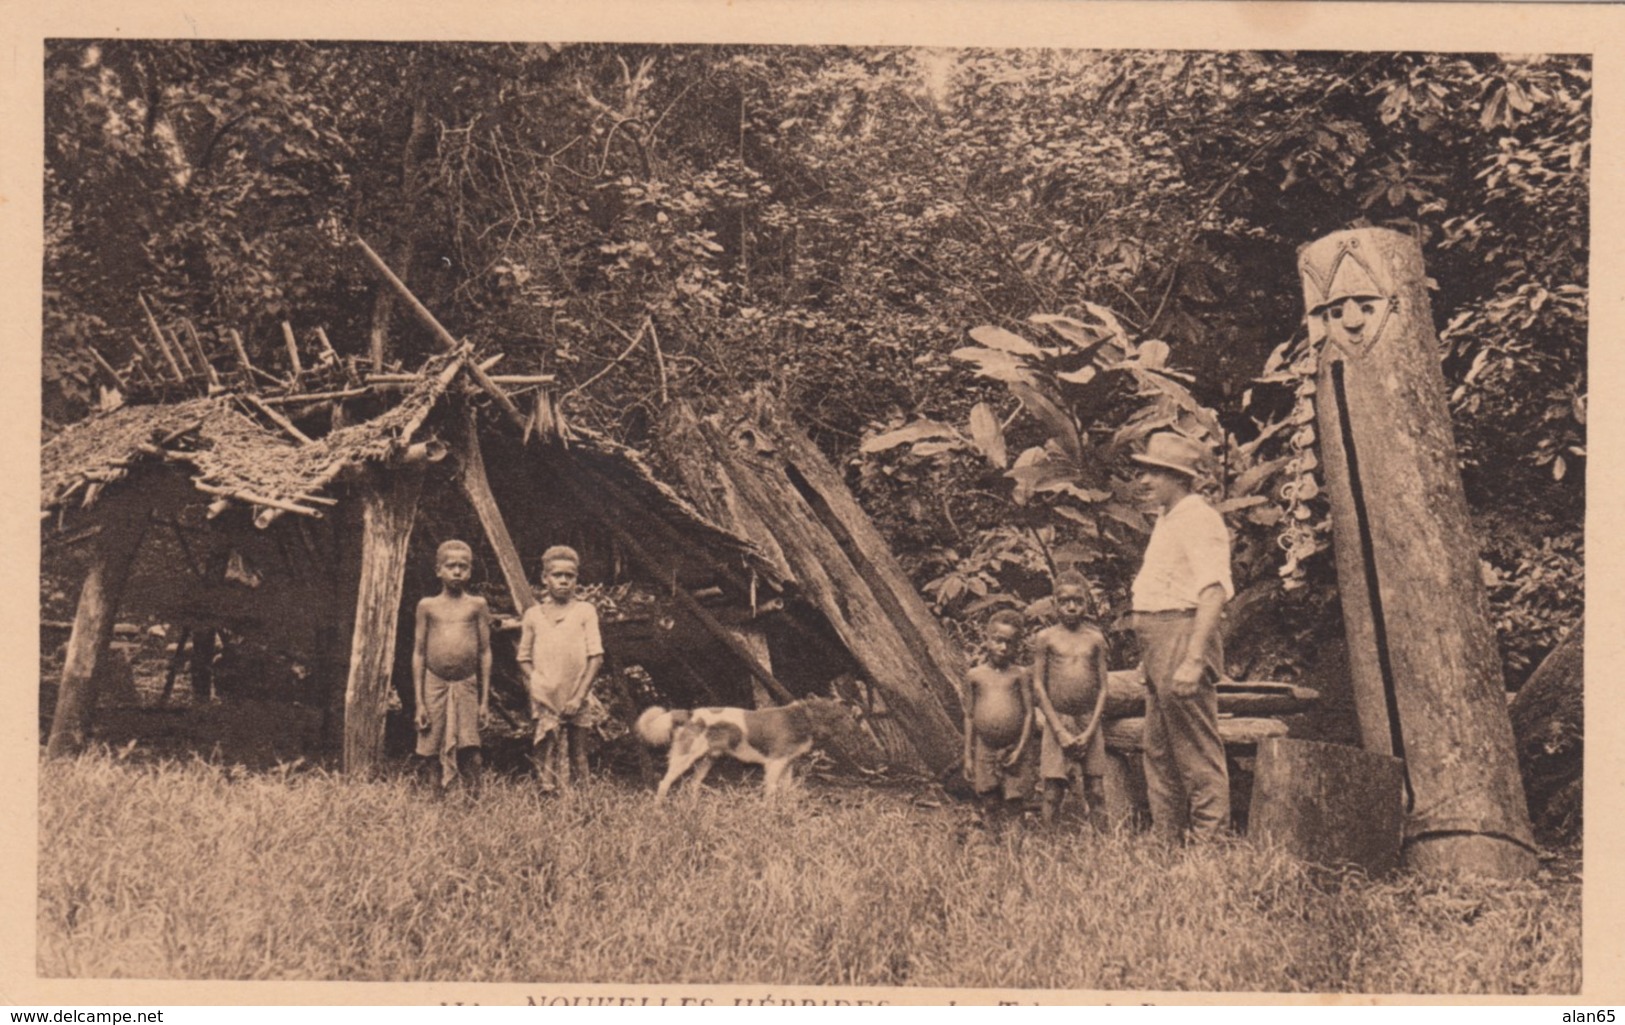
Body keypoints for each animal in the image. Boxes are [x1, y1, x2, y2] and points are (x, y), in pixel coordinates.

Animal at [633, 698, 851, 802]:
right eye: (839, 717)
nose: (854, 723)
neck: (799, 719)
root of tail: (690, 714)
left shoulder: (788, 764)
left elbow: (786, 791)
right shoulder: (775, 764)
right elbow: (770, 792)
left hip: (707, 761)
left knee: (692, 785)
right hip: (684, 759)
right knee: (664, 783)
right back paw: (659, 811)